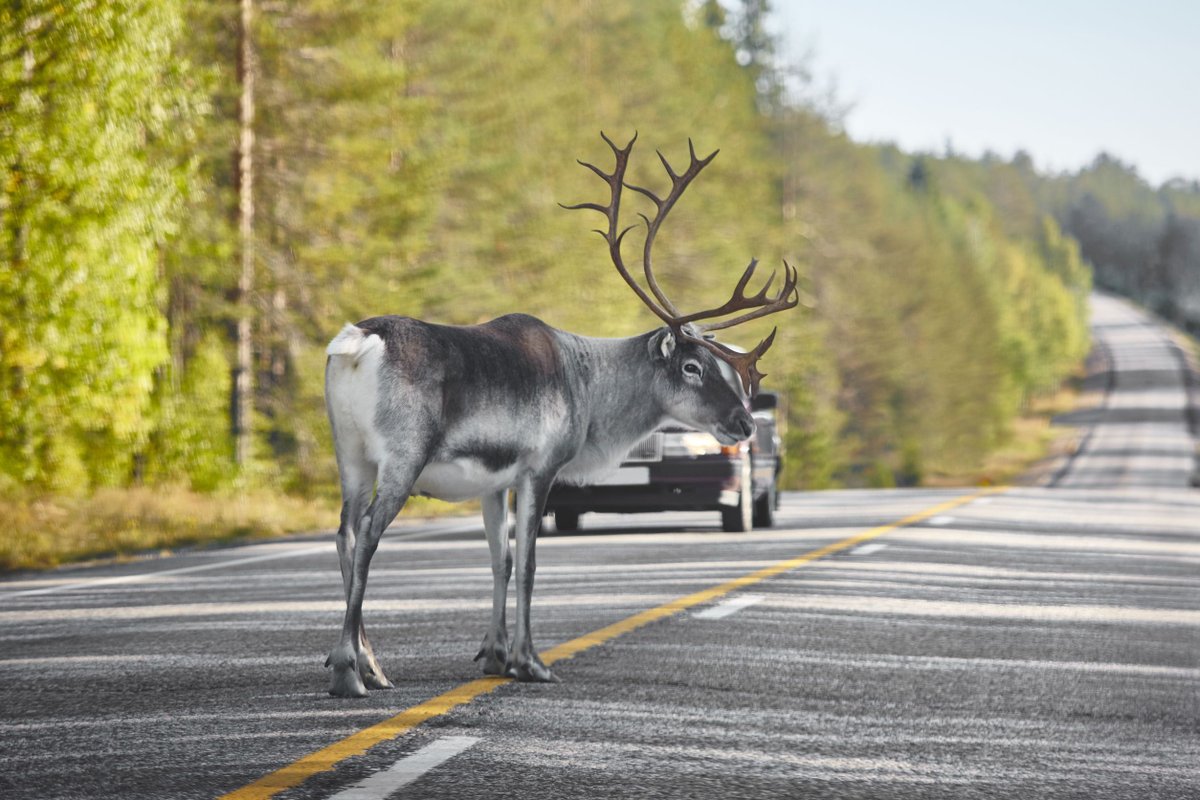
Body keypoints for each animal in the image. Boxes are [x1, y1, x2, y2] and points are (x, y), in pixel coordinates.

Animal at [322, 132, 798, 696]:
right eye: (692, 366)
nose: (745, 423)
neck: (588, 389)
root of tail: (358, 342)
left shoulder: (492, 481)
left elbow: (500, 559)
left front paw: (494, 654)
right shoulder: (541, 466)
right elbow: (529, 562)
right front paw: (530, 662)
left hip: (349, 453)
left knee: (346, 533)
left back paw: (368, 664)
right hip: (403, 456)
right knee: (369, 533)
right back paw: (350, 671)